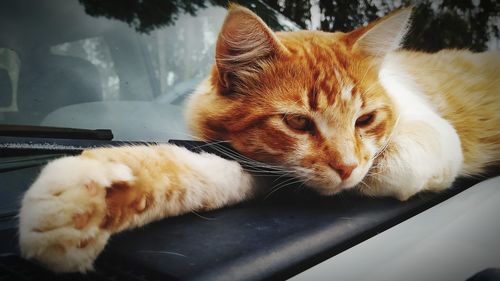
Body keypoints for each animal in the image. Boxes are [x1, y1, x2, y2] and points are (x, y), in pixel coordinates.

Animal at [17, 3, 498, 272]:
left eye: (365, 119)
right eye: (299, 124)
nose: (346, 167)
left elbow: (393, 164)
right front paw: (93, 197)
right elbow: (195, 173)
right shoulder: (250, 163)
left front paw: (368, 174)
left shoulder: (434, 137)